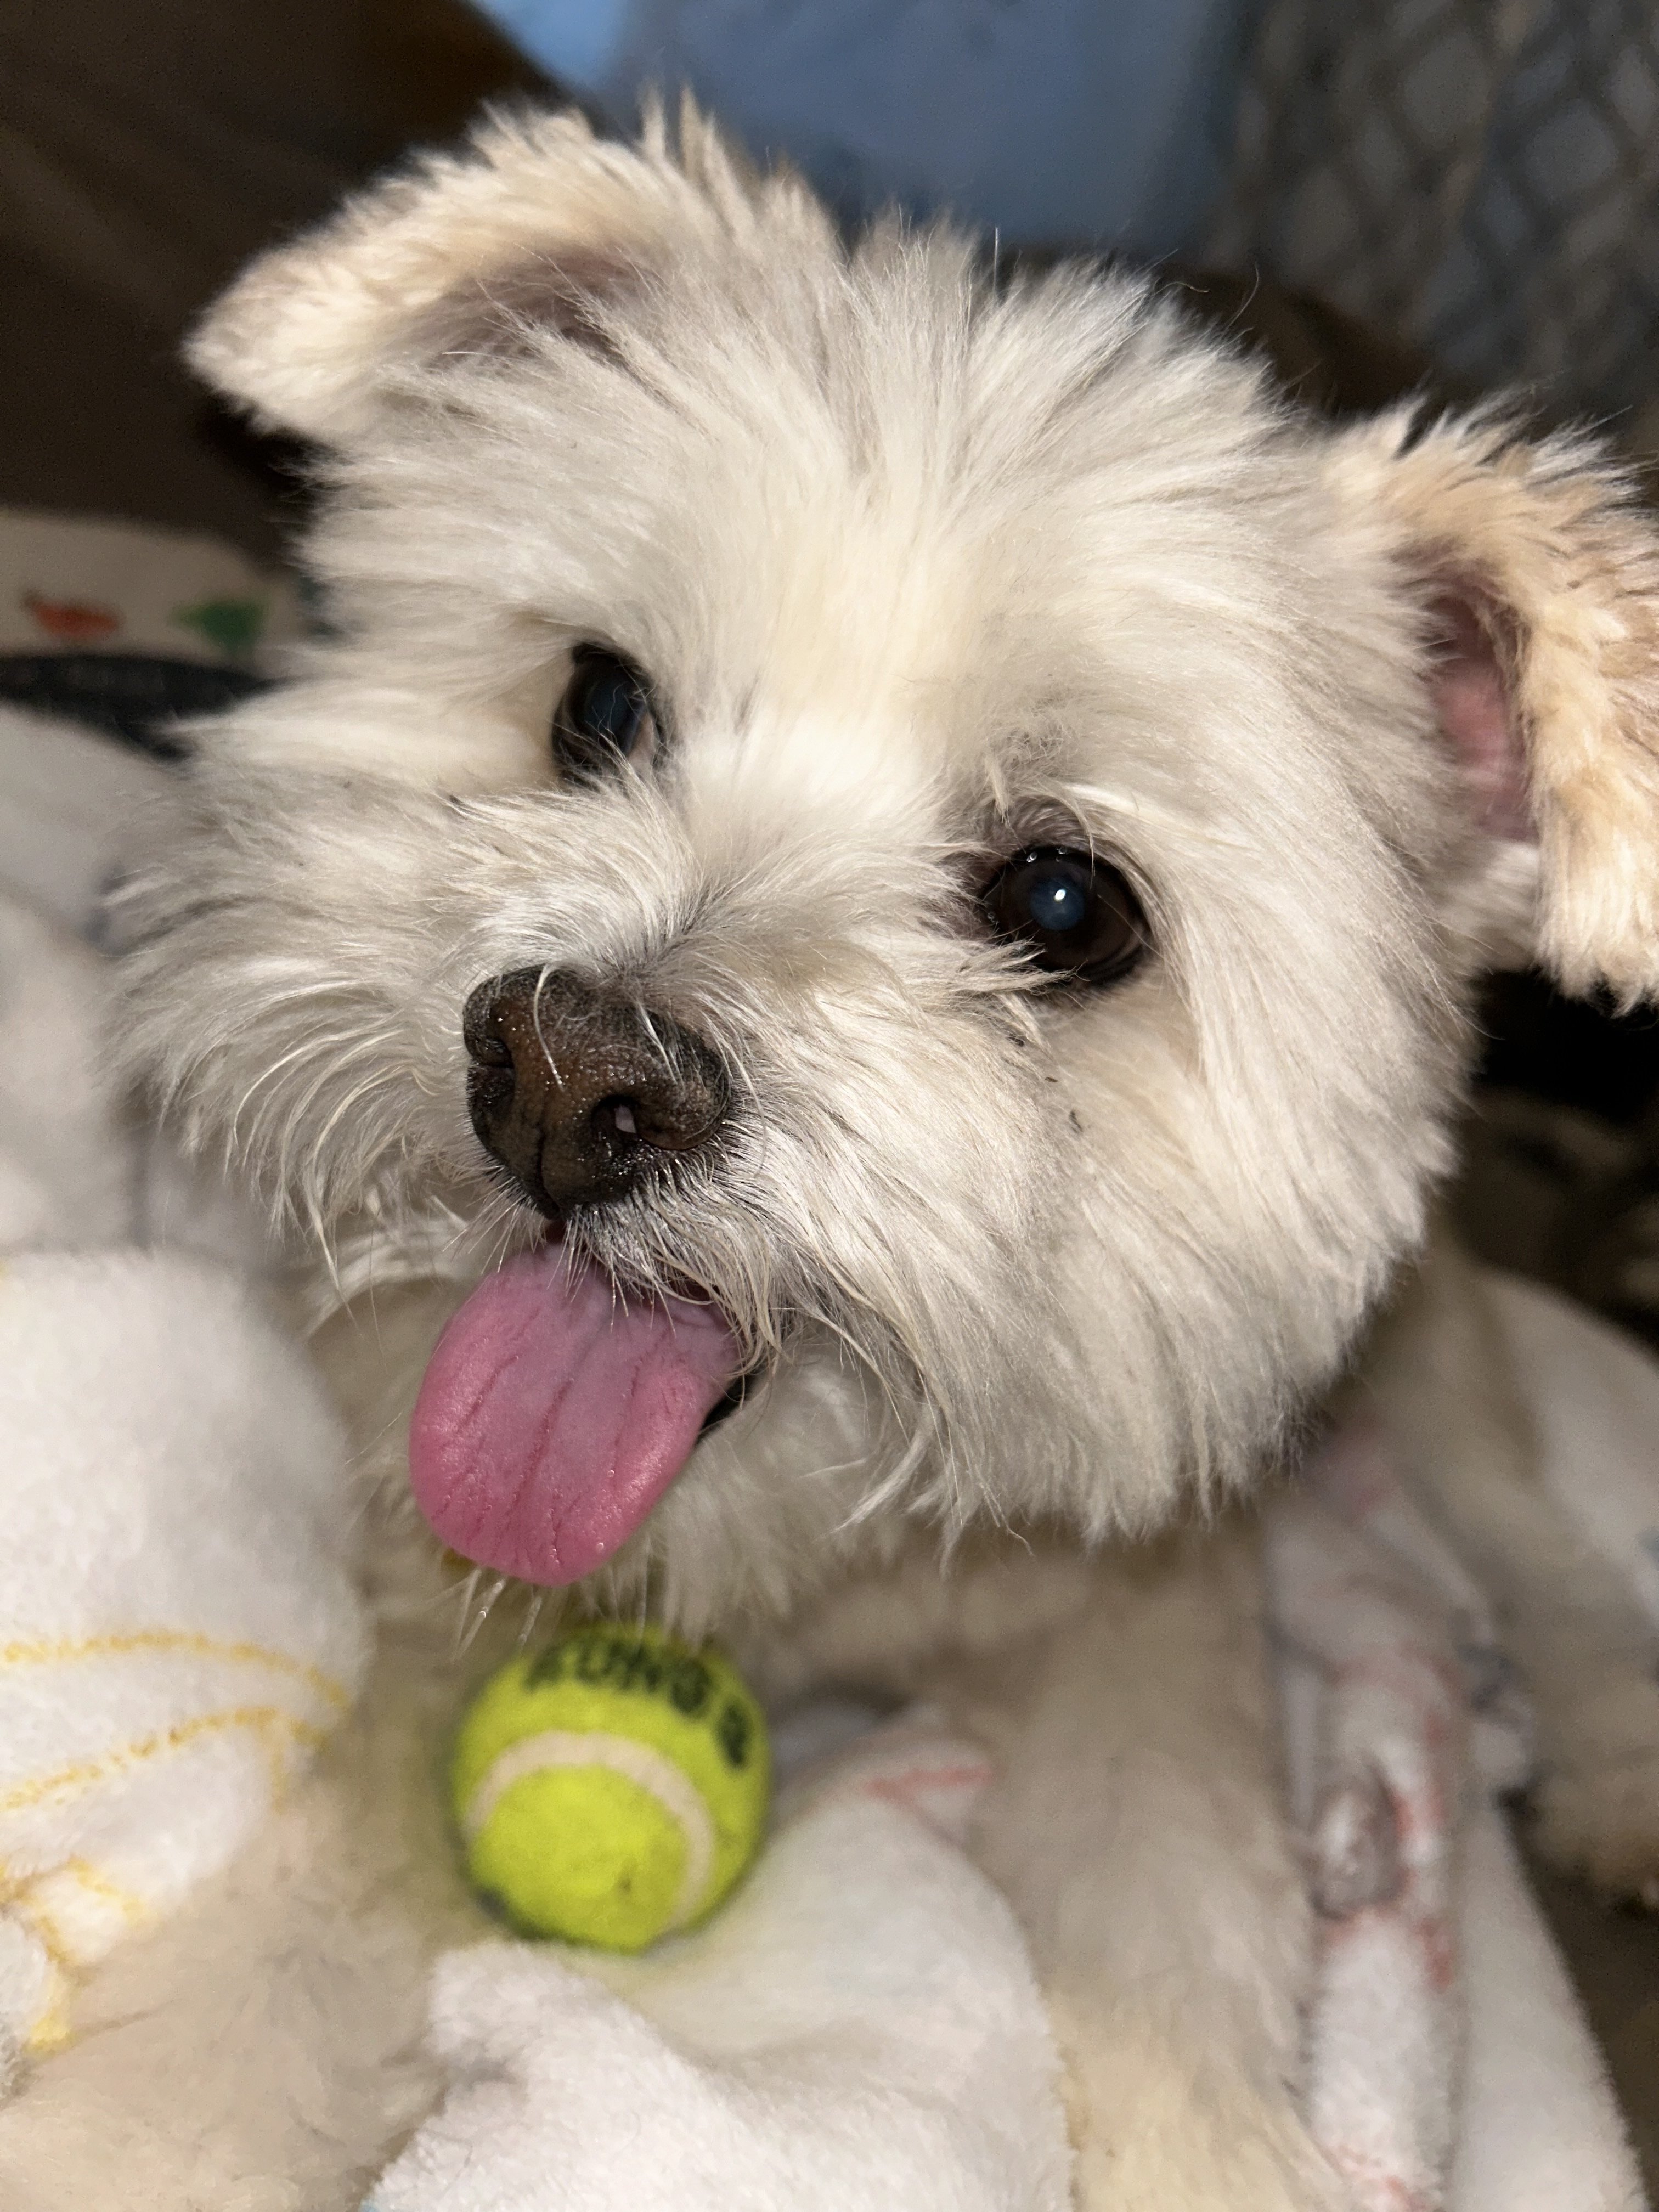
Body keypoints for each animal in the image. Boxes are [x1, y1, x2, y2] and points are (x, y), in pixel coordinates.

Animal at [84, 95, 1659, 2203]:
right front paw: (156, 2118)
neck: (803, 1566)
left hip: (1430, 1350)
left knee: (1527, 1532)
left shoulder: (1146, 1630)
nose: (563, 1078)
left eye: (1067, 903)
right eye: (599, 704)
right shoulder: (422, 1572)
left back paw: (1618, 1744)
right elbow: (310, 1896)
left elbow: (1171, 1907)